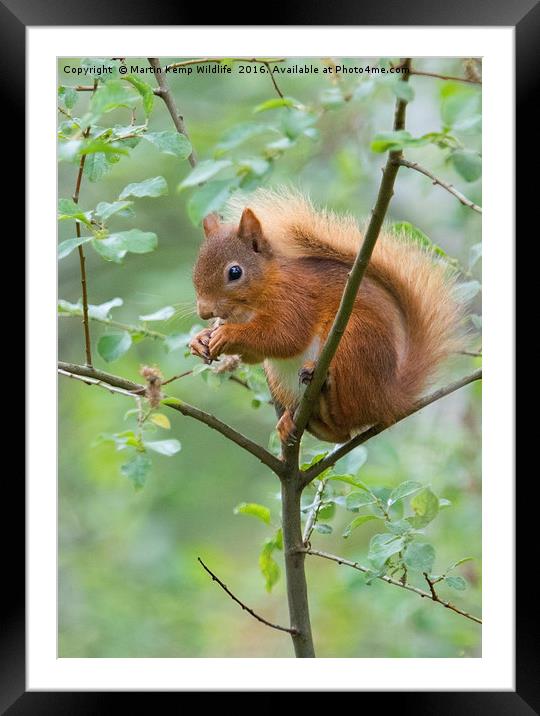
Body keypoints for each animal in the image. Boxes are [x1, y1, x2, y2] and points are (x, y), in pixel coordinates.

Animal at [188, 192, 462, 448]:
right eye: (195, 270)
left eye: (235, 272)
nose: (205, 312)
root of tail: (389, 397)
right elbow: (255, 354)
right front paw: (200, 339)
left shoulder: (296, 300)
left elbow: (284, 337)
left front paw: (227, 334)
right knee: (341, 434)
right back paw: (295, 422)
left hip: (353, 344)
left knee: (348, 420)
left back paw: (326, 394)